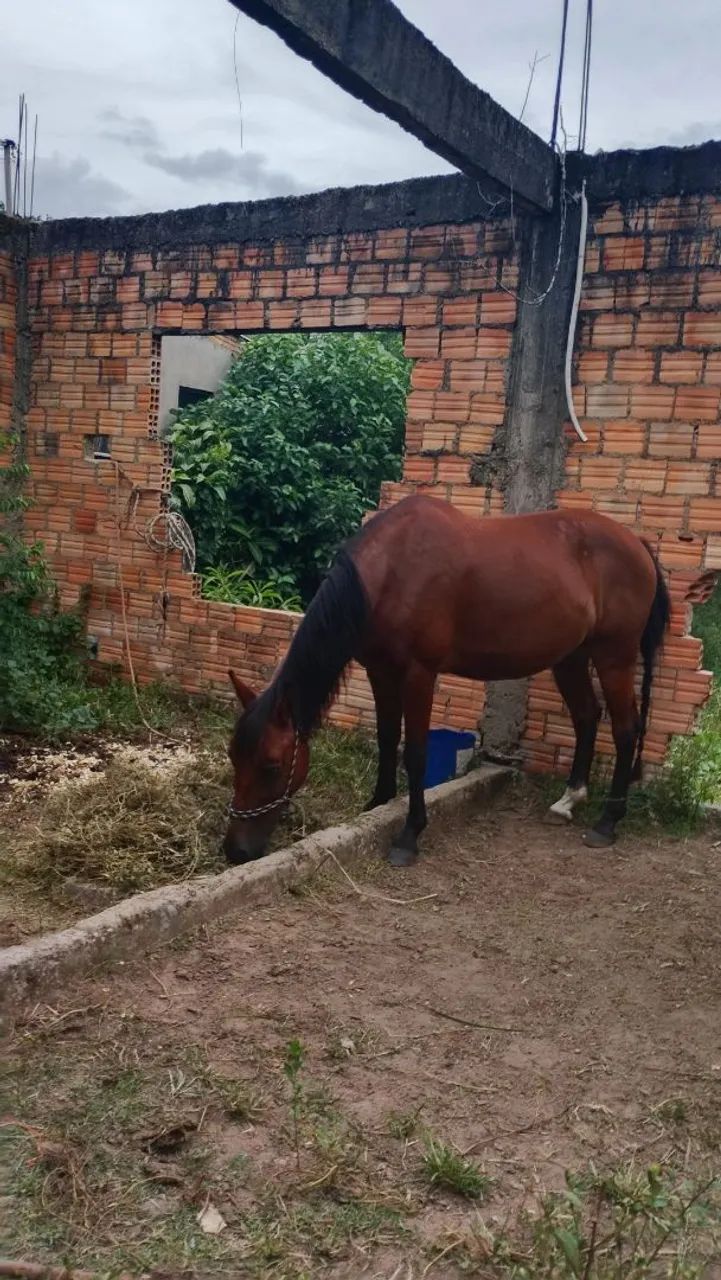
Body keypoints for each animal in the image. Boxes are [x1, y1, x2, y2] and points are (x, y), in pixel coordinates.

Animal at [223, 493, 671, 868]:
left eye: (271, 765)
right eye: (233, 757)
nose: (235, 851)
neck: (392, 571)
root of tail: (638, 545)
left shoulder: (419, 673)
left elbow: (416, 751)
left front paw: (409, 835)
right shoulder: (380, 670)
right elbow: (387, 737)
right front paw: (378, 803)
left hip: (614, 657)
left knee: (626, 729)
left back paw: (607, 822)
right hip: (571, 658)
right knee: (586, 717)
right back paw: (568, 800)